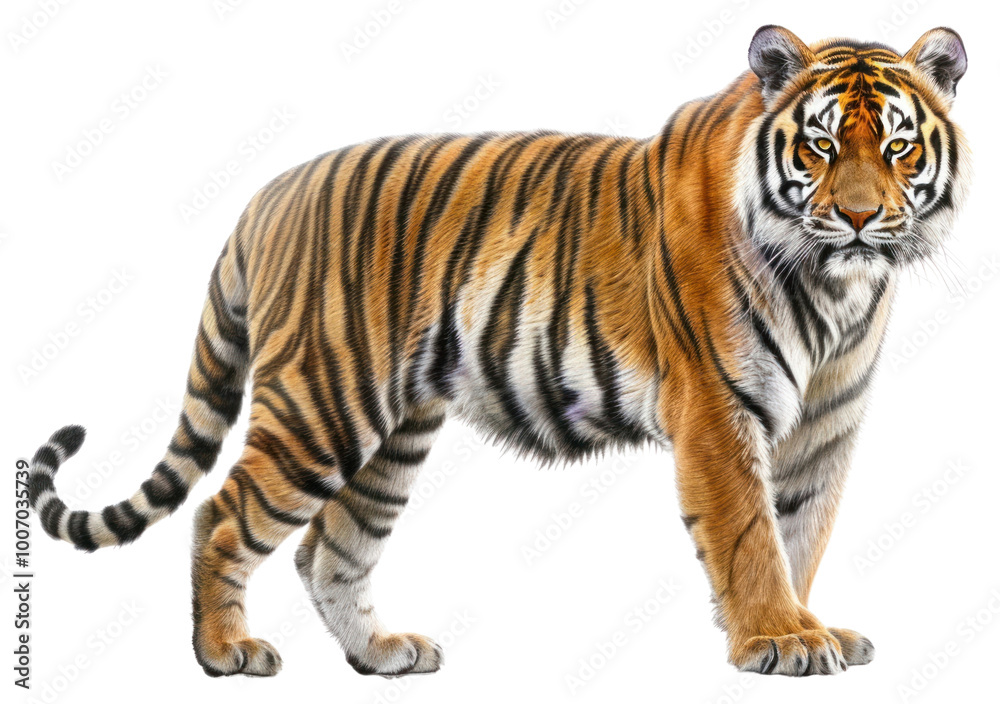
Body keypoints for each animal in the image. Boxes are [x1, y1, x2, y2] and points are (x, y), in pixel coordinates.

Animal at [27, 25, 969, 678]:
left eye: (897, 145)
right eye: (820, 145)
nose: (858, 218)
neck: (837, 289)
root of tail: (268, 193)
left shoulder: (824, 425)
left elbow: (800, 532)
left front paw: (811, 630)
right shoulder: (716, 407)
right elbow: (749, 536)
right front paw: (779, 639)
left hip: (393, 431)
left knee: (328, 547)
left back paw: (381, 655)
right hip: (322, 406)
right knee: (223, 515)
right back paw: (226, 653)